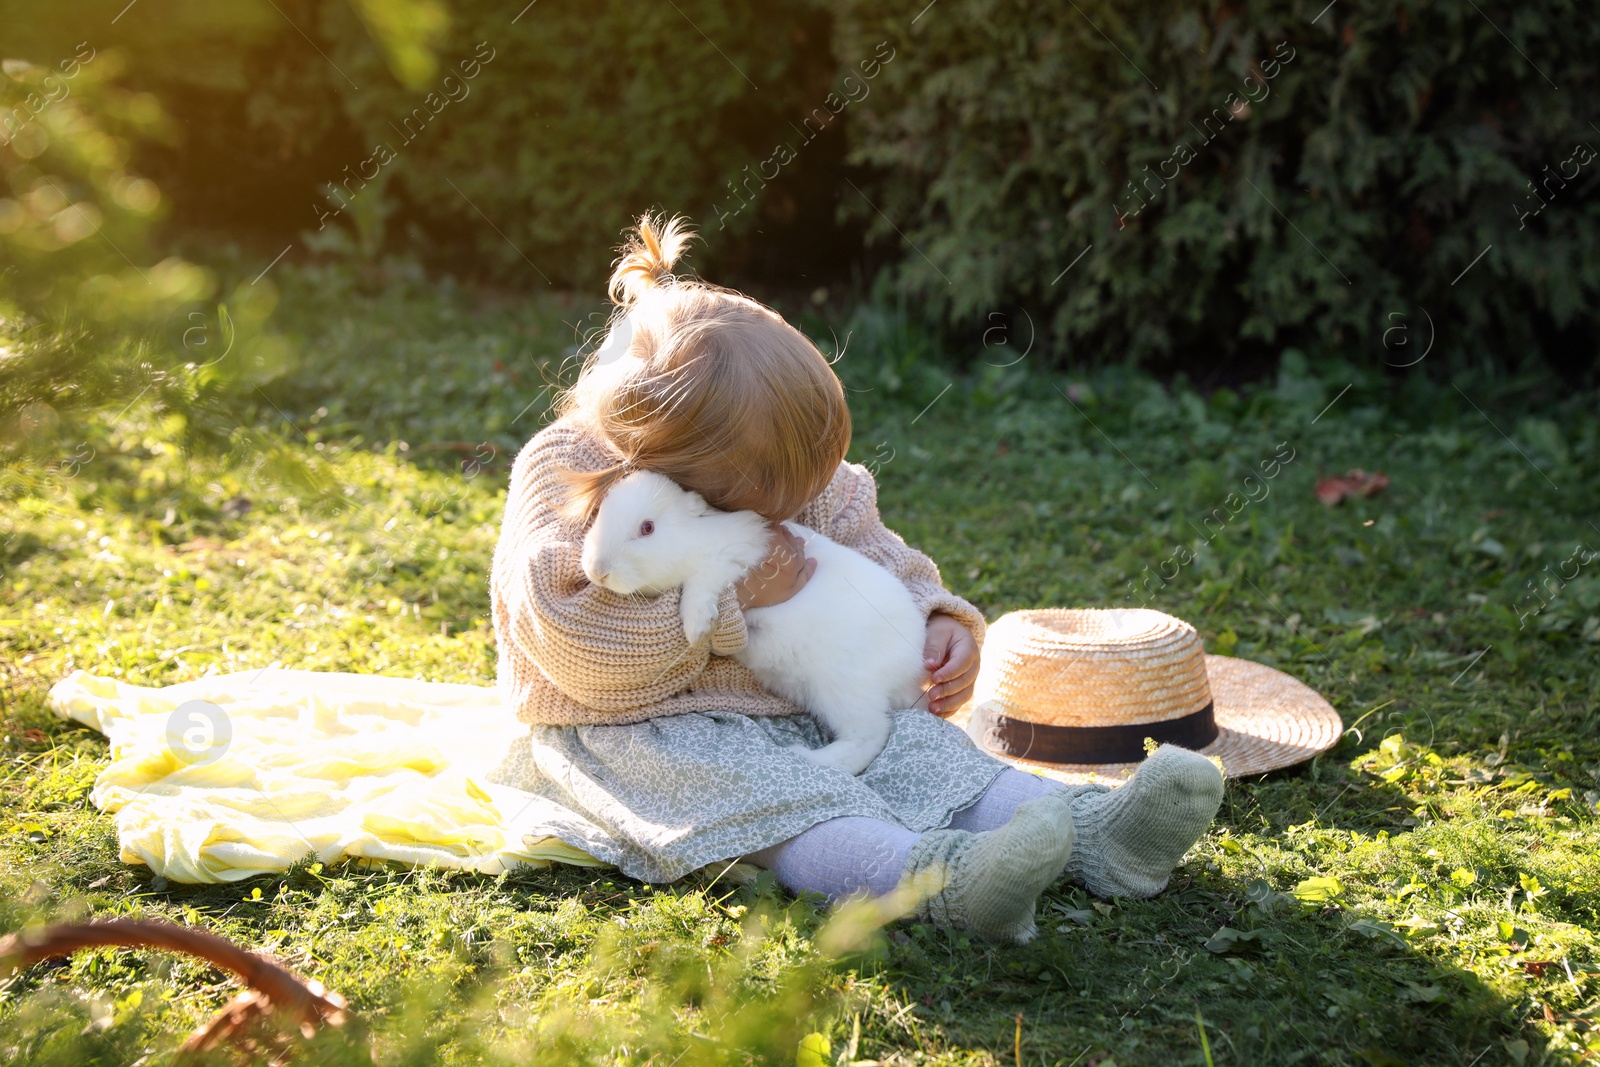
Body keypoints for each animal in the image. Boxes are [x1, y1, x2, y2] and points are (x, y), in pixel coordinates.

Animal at [579, 470, 928, 777]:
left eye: (647, 528)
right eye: (598, 516)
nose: (598, 570)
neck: (692, 538)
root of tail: (911, 665)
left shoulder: (734, 556)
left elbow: (702, 583)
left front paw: (697, 627)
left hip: (844, 687)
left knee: (870, 735)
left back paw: (809, 758)